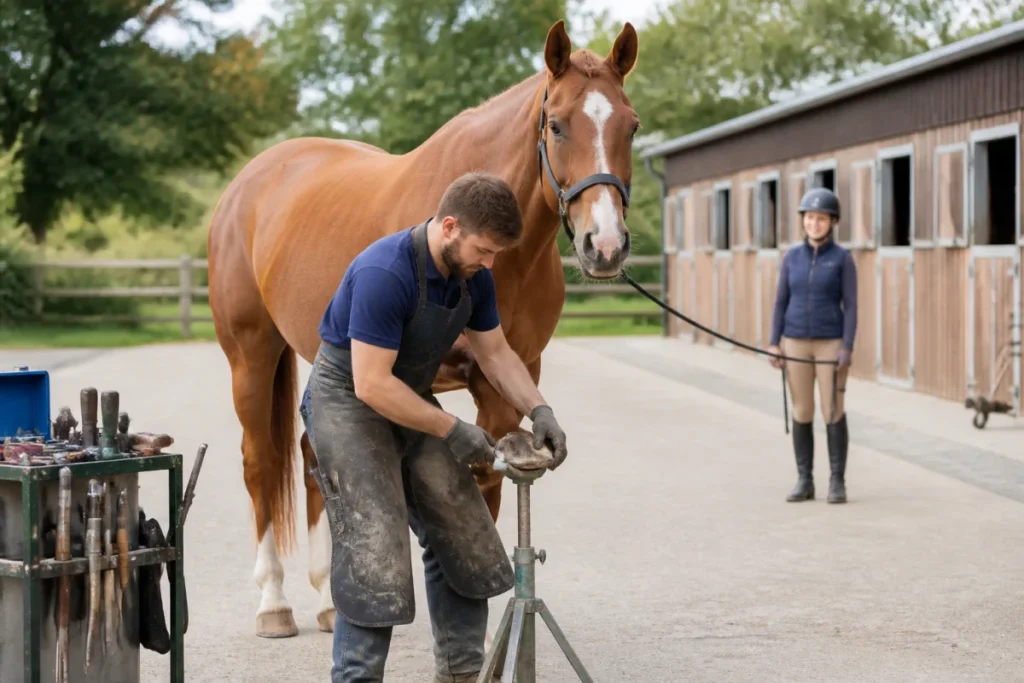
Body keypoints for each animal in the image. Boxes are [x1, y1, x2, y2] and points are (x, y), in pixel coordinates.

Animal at [206, 19, 641, 638]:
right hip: (251, 354)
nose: (604, 245)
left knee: (313, 457)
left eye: (631, 125)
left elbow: (486, 488)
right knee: (260, 460)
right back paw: (274, 603)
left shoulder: (505, 378)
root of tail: (250, 182)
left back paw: (329, 599)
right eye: (557, 124)